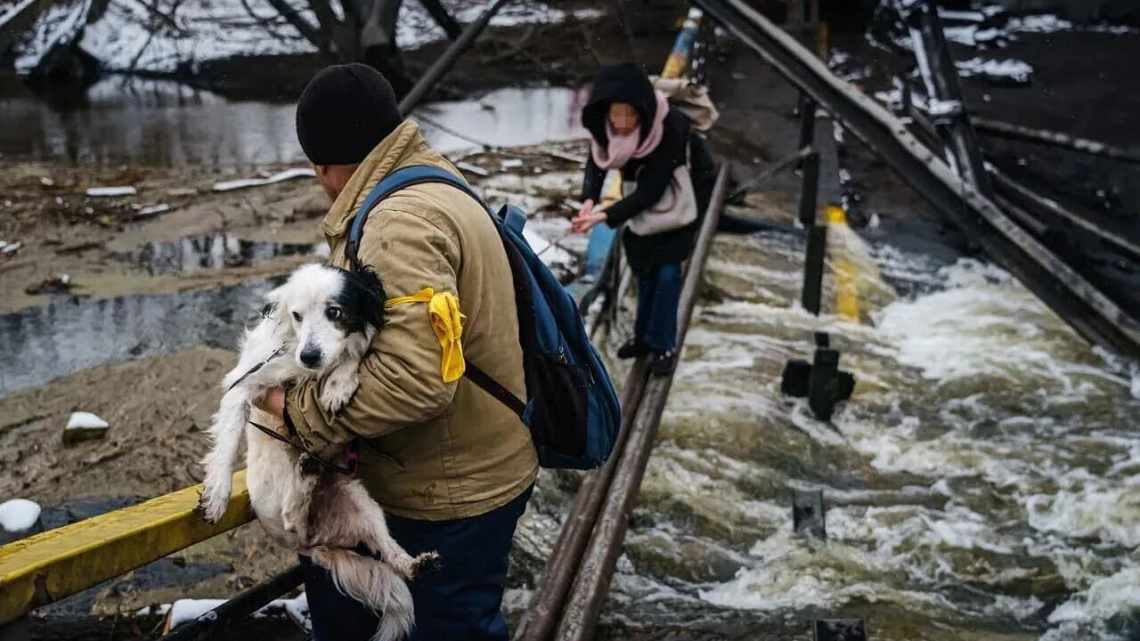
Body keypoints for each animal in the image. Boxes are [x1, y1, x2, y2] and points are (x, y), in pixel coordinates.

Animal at [198, 262, 433, 638]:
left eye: (334, 312)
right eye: (296, 315)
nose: (309, 356)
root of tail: (316, 542)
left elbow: (351, 356)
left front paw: (338, 384)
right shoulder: (244, 383)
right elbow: (229, 439)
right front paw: (217, 495)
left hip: (363, 504)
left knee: (389, 552)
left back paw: (415, 563)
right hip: (277, 506)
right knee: (291, 513)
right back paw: (305, 475)